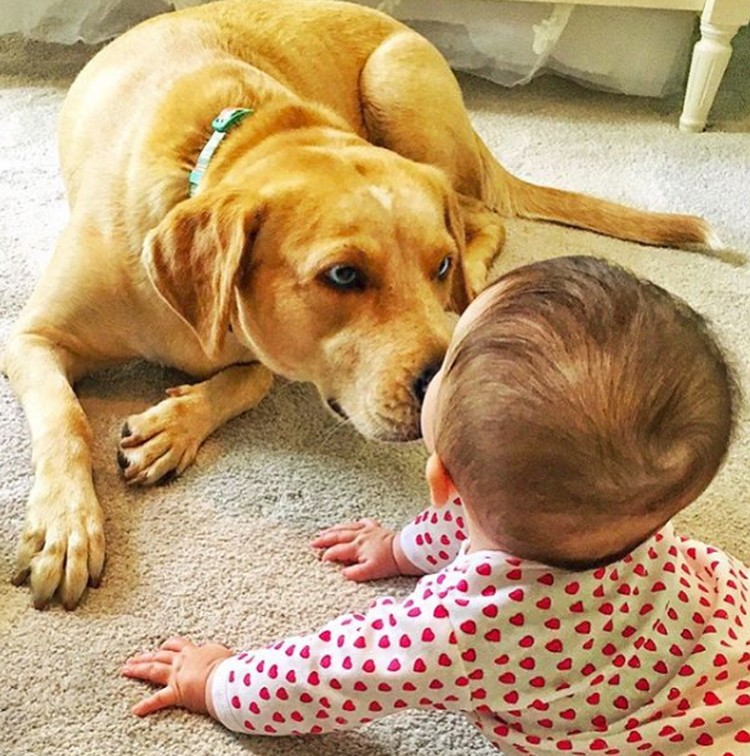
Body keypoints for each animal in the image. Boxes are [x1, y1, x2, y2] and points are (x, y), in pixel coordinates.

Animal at [2, 0, 712, 608]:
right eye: (343, 275)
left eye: (438, 265)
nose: (447, 384)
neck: (226, 150)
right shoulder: (30, 338)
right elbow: (66, 418)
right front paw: (67, 527)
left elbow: (252, 380)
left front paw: (175, 426)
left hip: (399, 88)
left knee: (481, 218)